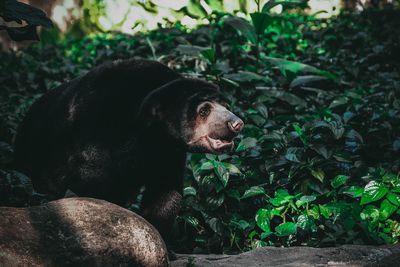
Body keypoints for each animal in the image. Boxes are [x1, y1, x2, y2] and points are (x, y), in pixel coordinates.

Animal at [13, 59, 244, 242]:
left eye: (226, 105)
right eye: (204, 110)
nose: (236, 123)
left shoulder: (168, 151)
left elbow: (164, 192)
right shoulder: (95, 134)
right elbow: (96, 185)